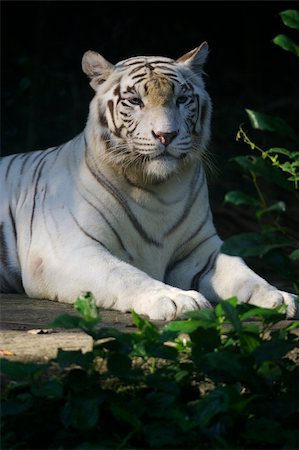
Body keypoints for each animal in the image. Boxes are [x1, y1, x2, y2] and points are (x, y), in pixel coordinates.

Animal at [1, 44, 298, 320]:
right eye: (135, 101)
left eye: (181, 99)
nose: (166, 135)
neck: (158, 190)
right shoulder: (69, 249)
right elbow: (124, 274)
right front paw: (176, 299)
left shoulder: (200, 249)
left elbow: (241, 270)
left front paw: (279, 296)